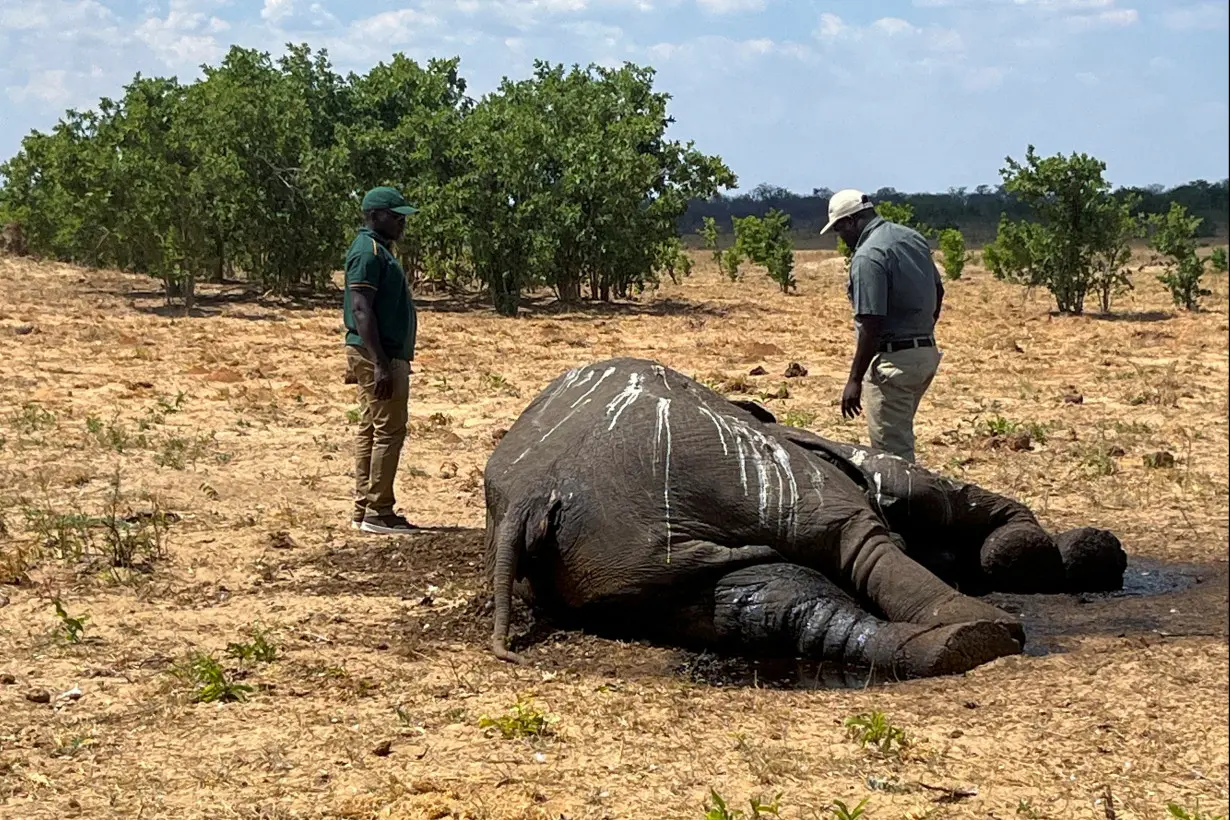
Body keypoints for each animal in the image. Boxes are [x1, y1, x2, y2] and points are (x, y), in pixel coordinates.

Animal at [479, 356, 1126, 678]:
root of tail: (538, 493)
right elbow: (932, 496)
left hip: (624, 560)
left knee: (767, 604)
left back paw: (951, 646)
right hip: (729, 469)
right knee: (854, 537)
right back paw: (980, 631)